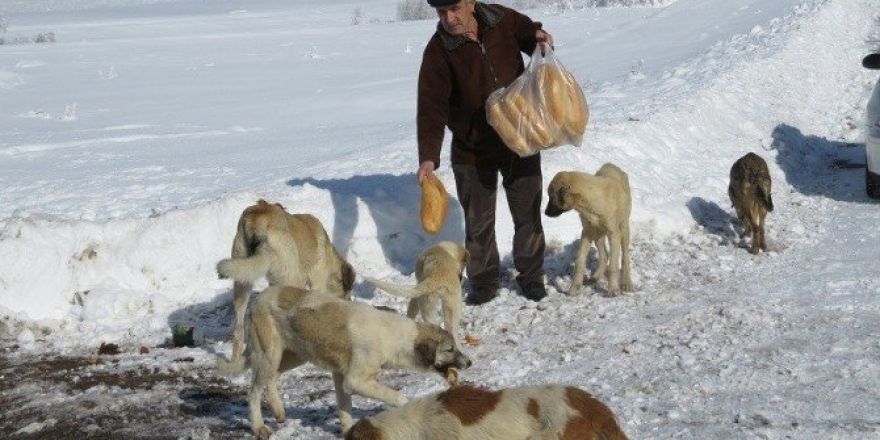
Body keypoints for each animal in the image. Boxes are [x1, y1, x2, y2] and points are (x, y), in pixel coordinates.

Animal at [216, 199, 354, 364]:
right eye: (347, 294)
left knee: (238, 329)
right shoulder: (317, 284)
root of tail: (258, 218)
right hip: (291, 279)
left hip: (242, 282)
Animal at [217, 286, 470, 436]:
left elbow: (344, 409)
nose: (469, 363)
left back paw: (279, 411)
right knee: (253, 391)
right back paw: (259, 426)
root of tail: (258, 298)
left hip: (292, 355)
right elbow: (397, 396)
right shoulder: (355, 381)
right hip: (270, 355)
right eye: (449, 349)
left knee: (272, 379)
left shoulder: (340, 377)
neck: (396, 336)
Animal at [544, 163, 632, 298]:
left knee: (625, 257)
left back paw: (626, 282)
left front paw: (612, 289)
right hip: (598, 234)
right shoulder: (586, 232)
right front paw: (574, 287)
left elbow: (613, 265)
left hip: (623, 227)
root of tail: (611, 165)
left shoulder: (614, 234)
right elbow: (580, 260)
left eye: (551, 197)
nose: (545, 213)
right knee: (604, 255)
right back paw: (596, 276)